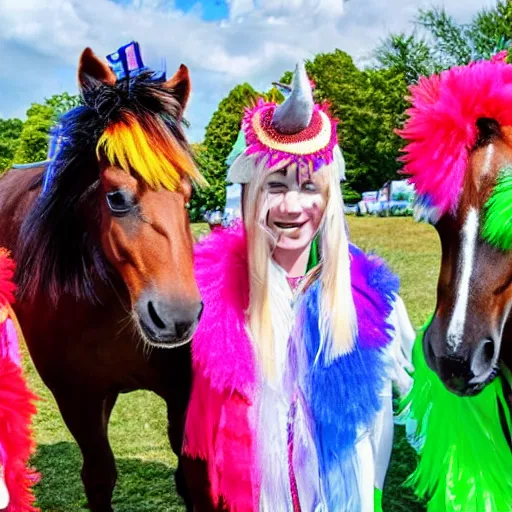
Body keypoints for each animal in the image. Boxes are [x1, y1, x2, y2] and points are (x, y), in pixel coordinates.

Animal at [0, 49, 204, 512]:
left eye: (188, 196)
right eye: (115, 197)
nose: (177, 317)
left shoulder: (181, 394)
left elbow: (190, 477)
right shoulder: (78, 399)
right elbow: (98, 477)